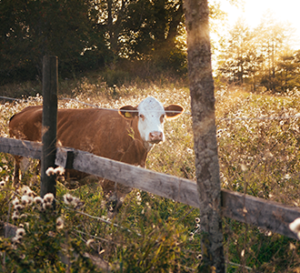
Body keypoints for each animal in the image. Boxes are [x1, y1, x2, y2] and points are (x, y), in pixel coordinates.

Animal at [8, 96, 183, 210]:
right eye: (141, 115)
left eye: (163, 116)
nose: (156, 135)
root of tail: (23, 111)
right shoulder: (107, 180)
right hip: (22, 159)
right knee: (19, 182)